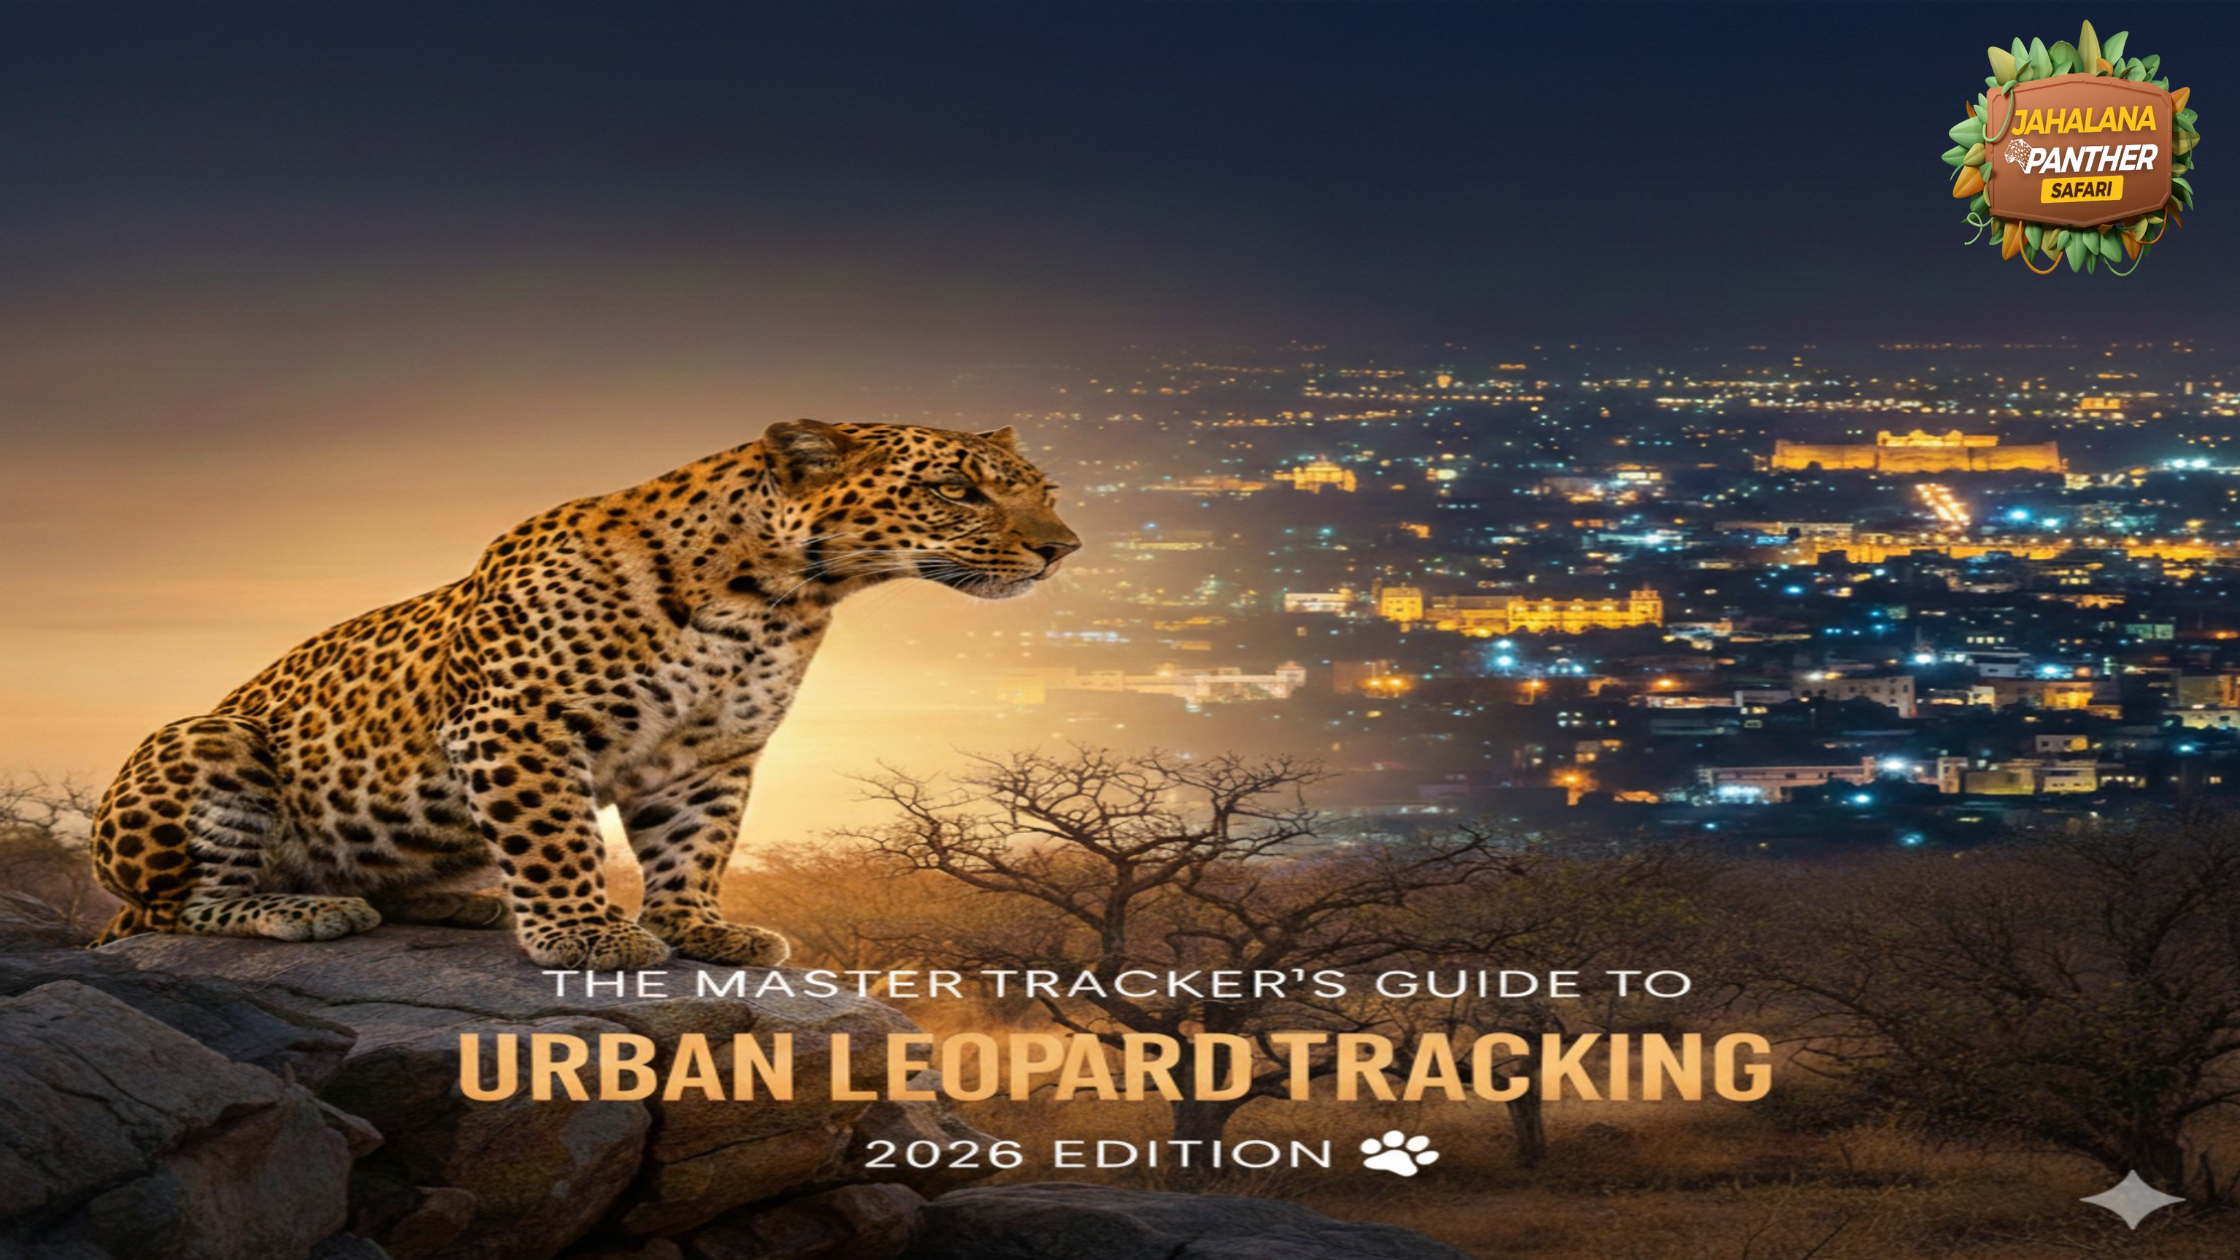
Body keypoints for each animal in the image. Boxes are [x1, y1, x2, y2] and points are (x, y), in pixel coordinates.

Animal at [87, 420, 1079, 970]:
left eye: (1047, 492)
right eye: (954, 490)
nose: (1062, 548)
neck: (774, 599)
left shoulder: (709, 755)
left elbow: (696, 847)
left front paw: (696, 928)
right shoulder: (517, 724)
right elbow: (554, 836)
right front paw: (585, 934)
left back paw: (457, 902)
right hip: (206, 742)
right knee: (180, 908)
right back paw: (307, 908)